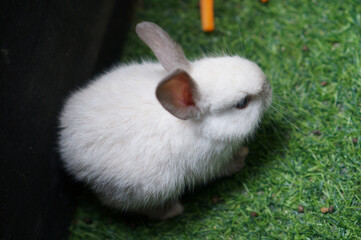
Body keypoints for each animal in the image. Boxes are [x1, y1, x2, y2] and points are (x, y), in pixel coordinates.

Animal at [58, 21, 270, 220]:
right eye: (242, 103)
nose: (267, 85)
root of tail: (67, 152)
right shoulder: (211, 165)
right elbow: (227, 168)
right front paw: (243, 156)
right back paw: (173, 210)